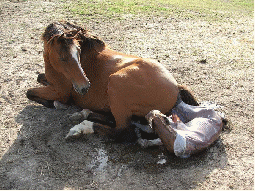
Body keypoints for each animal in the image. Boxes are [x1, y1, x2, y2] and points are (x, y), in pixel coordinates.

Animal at [26, 21, 197, 139]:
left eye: (78, 52)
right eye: (63, 57)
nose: (84, 87)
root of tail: (176, 88)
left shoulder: (60, 91)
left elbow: (29, 92)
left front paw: (55, 104)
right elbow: (39, 78)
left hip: (116, 83)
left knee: (124, 131)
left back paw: (81, 127)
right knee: (113, 120)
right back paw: (84, 114)